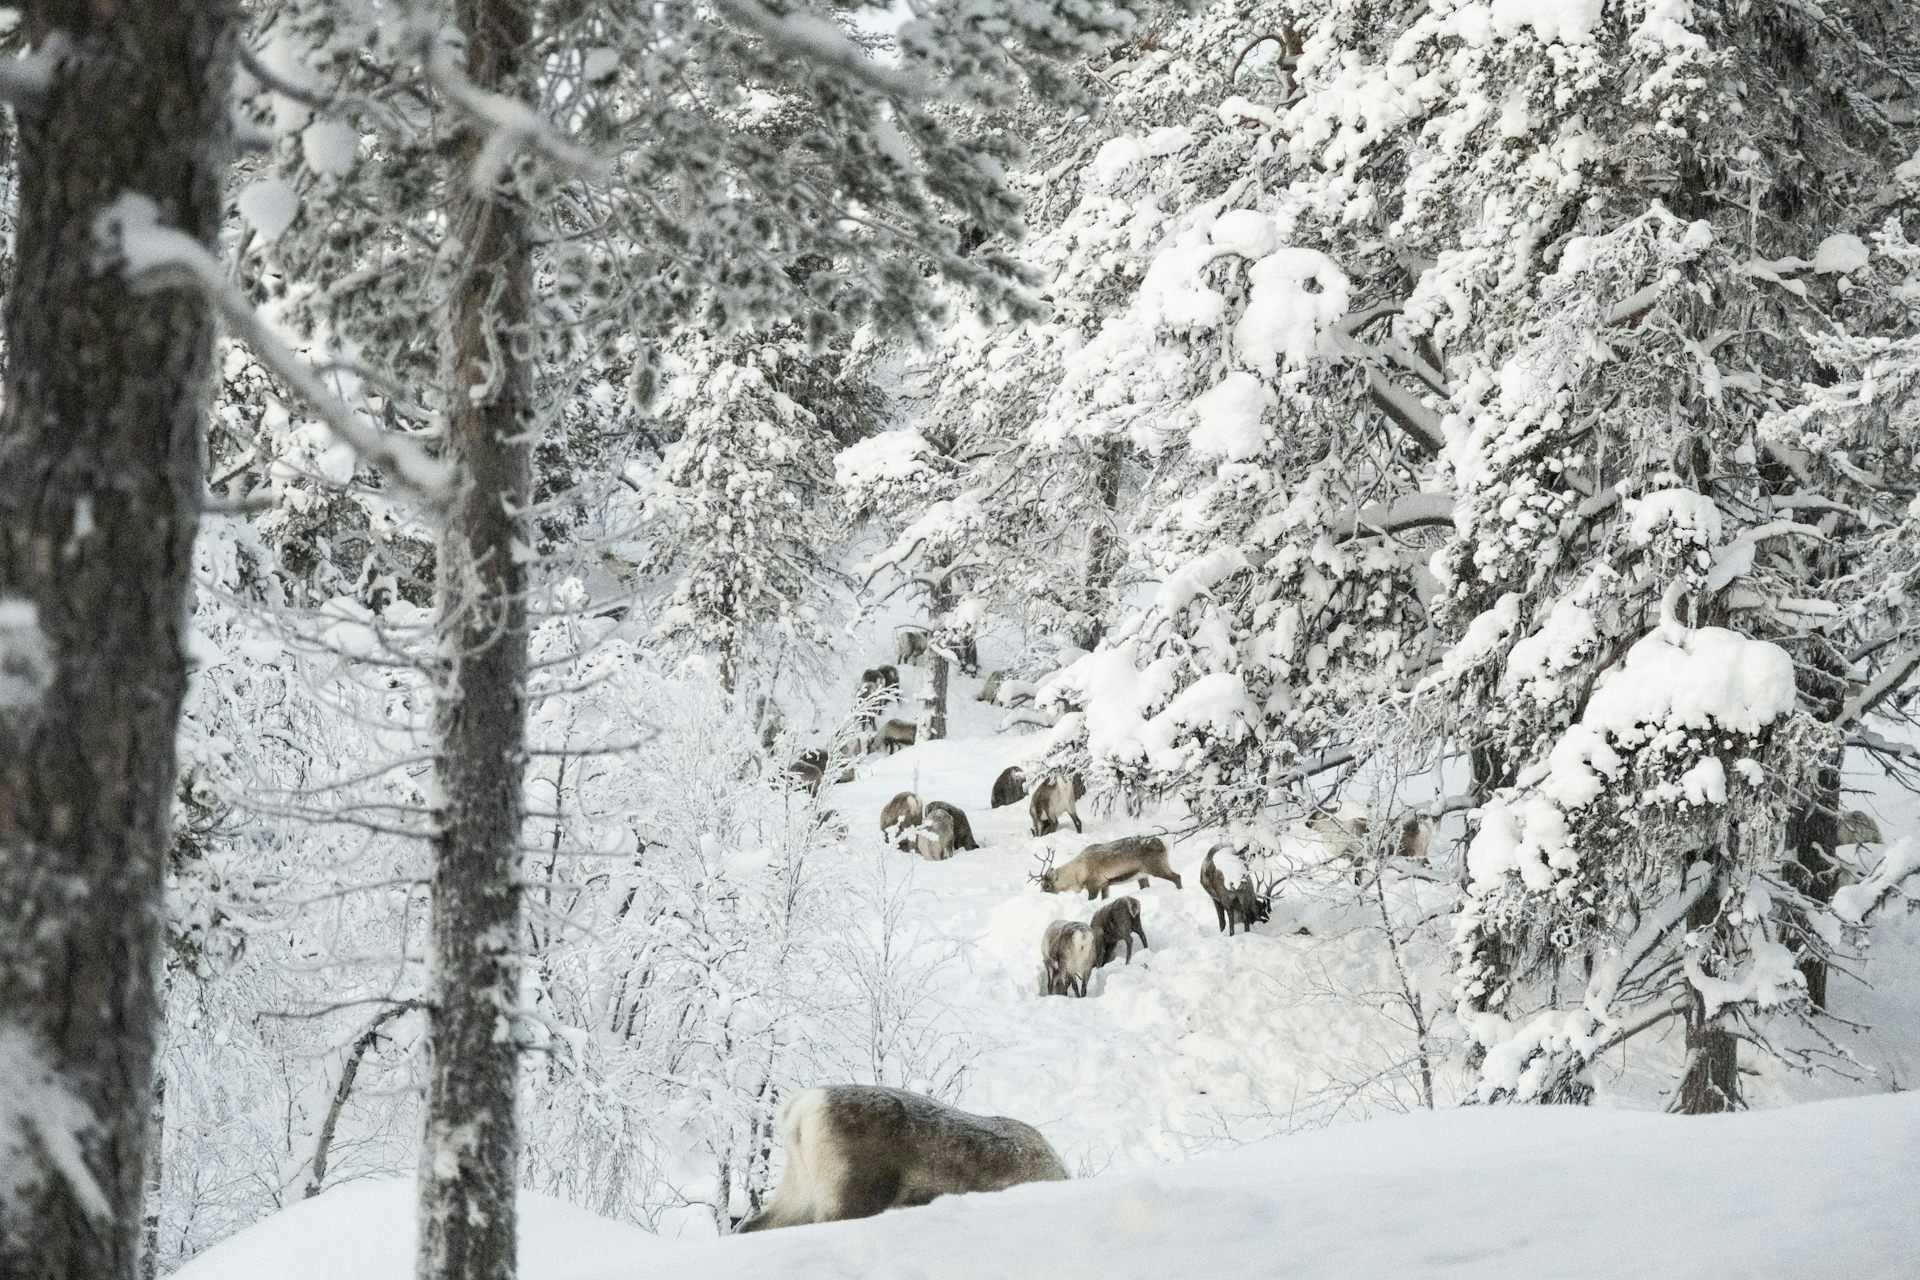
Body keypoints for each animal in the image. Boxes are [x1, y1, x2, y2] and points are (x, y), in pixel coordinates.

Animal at [1033, 835, 1181, 900]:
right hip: (1142, 876)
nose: (1040, 896)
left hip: (1157, 867)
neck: (1077, 873)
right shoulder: (1105, 884)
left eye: (1047, 885)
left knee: (1177, 877)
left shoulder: (1094, 885)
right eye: (1040, 884)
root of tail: (1163, 843)